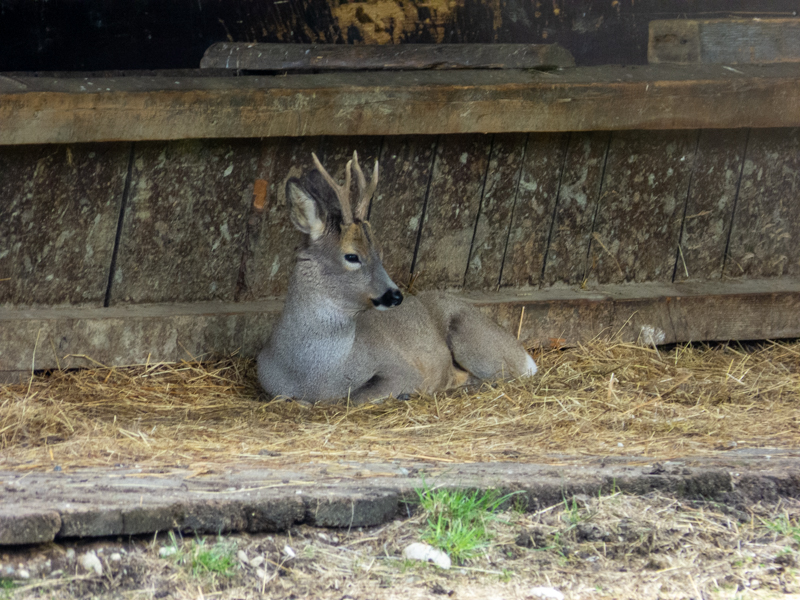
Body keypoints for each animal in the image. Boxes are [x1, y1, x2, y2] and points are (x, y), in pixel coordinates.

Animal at [257, 151, 537, 405]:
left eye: (380, 252)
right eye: (352, 256)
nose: (395, 294)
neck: (312, 375)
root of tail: (526, 357)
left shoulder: (403, 370)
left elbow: (354, 398)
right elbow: (290, 399)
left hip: (472, 338)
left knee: (501, 377)